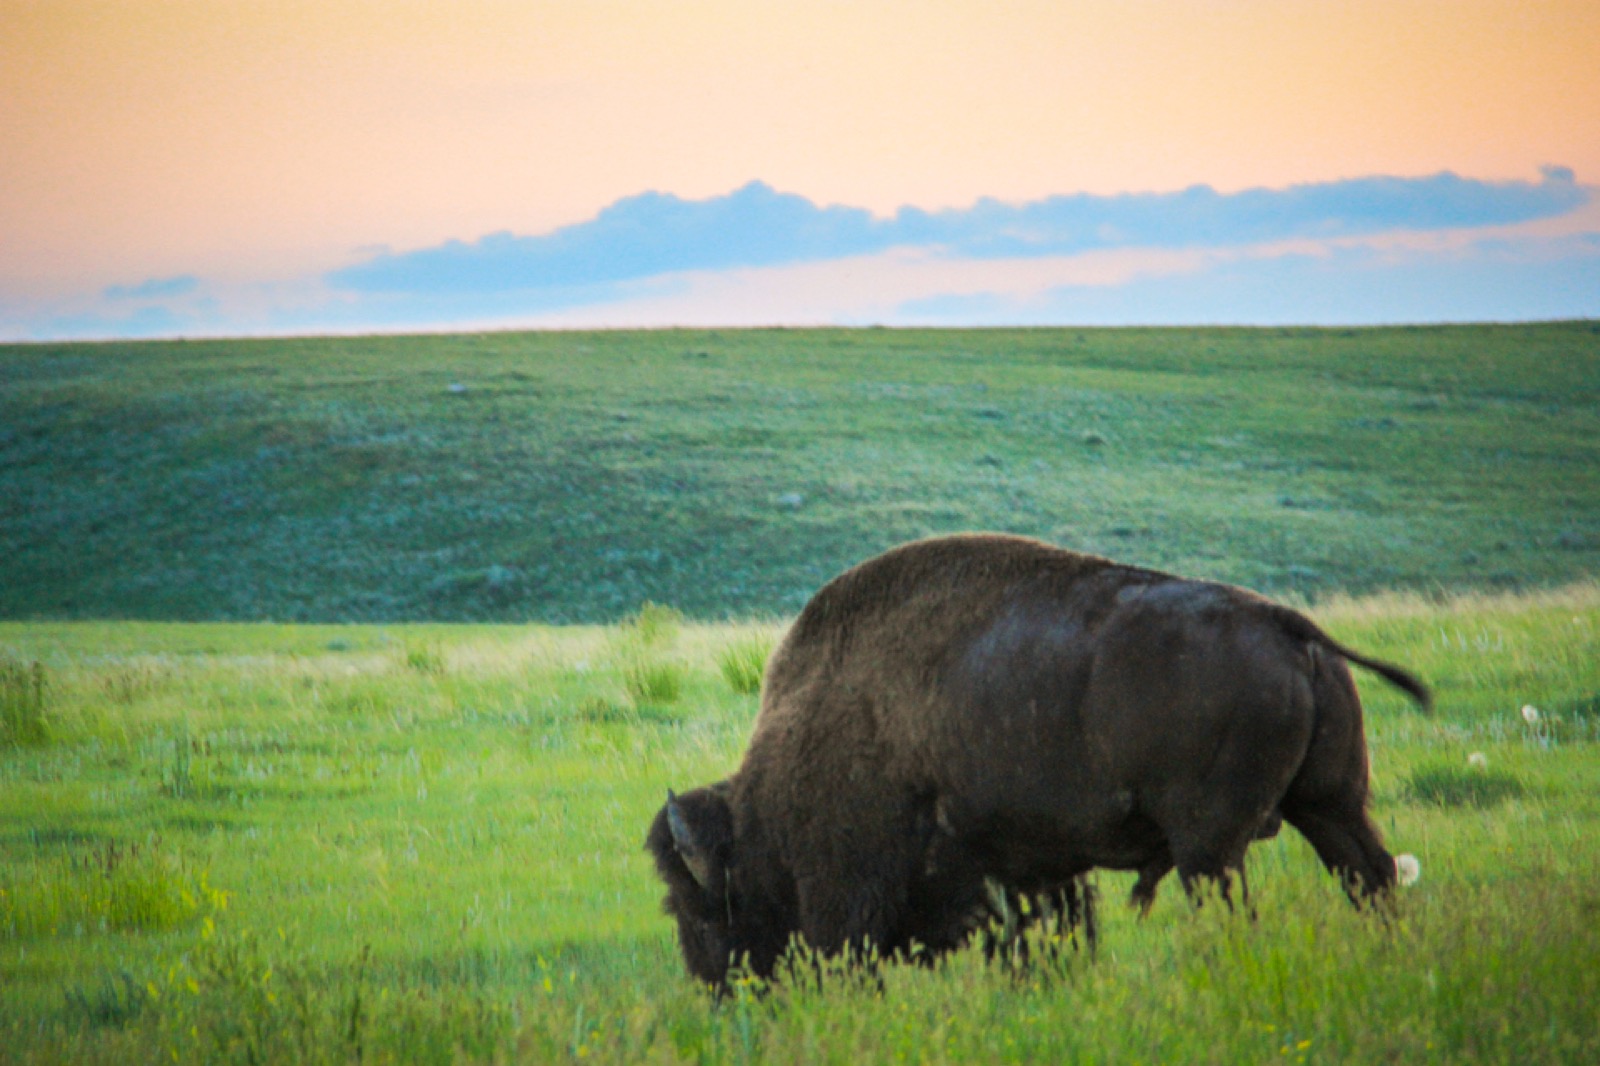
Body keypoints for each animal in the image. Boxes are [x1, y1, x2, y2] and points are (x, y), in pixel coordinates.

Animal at [643, 534, 1433, 985]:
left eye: (701, 911)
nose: (718, 991)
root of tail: (1287, 626)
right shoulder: (1025, 867)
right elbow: (1045, 932)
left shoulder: (856, 885)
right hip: (1331, 805)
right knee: (1372, 880)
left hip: (1211, 846)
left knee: (1238, 908)